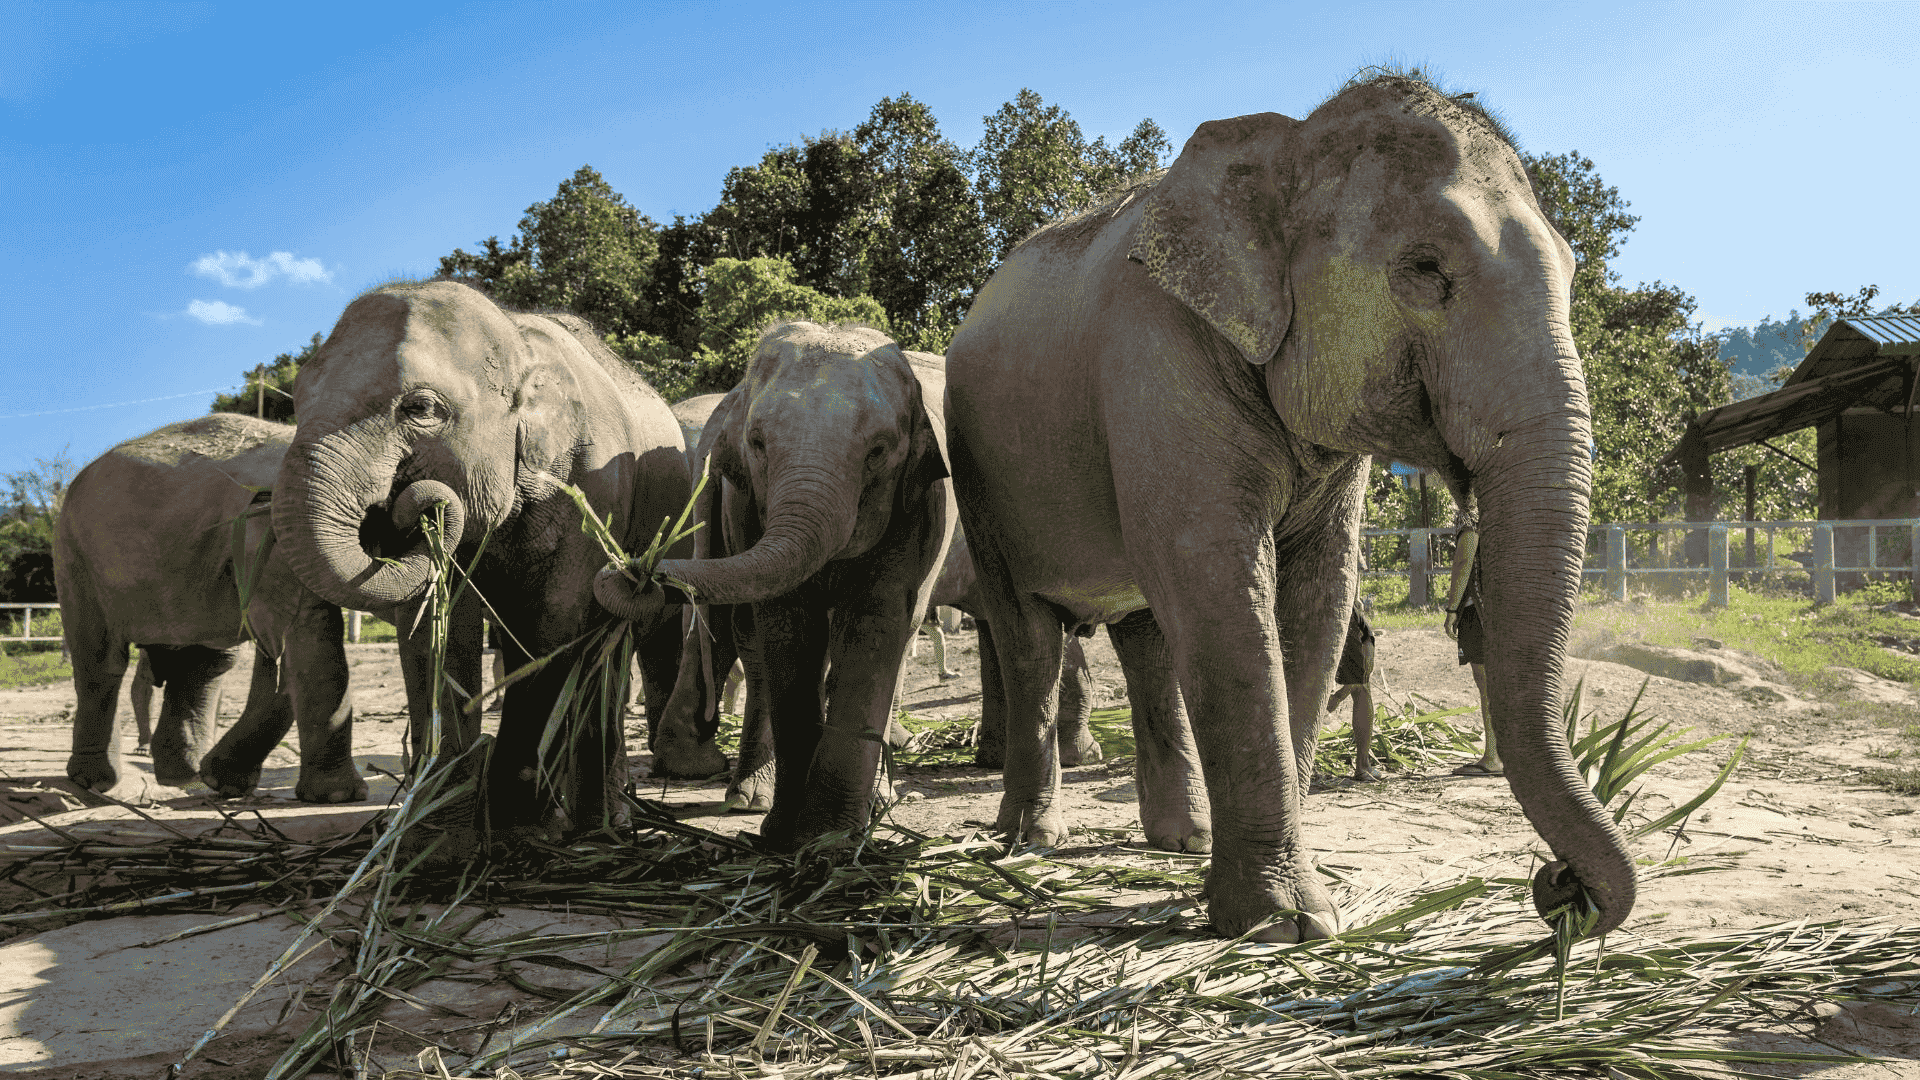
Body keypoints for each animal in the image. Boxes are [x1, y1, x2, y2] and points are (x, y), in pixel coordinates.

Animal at [53, 414, 367, 804]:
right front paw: (338, 797)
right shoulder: (279, 535)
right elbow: (305, 634)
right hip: (74, 554)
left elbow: (286, 652)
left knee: (205, 662)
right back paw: (94, 782)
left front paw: (224, 783)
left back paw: (184, 776)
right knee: (100, 659)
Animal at [271, 279, 692, 851]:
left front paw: (520, 823)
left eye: (420, 407)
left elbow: (558, 620)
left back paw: (602, 826)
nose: (408, 507)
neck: (518, 343)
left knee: (611, 647)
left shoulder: (595, 491)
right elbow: (438, 628)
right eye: (298, 398)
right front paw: (437, 832)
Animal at [598, 321, 954, 849]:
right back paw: (748, 797)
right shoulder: (745, 507)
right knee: (751, 641)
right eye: (758, 443)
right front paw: (790, 837)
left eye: (878, 452)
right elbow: (785, 626)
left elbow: (874, 625)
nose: (638, 571)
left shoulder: (917, 510)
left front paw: (830, 839)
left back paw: (878, 801)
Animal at [944, 71, 1633, 943]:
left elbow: (1318, 596)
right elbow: (1219, 580)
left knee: (1146, 637)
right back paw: (1030, 840)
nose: (1559, 888)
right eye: (1425, 270)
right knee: (1027, 633)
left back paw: (1181, 839)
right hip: (980, 474)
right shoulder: (1153, 357)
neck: (1288, 144)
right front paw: (1281, 923)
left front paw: (1291, 908)